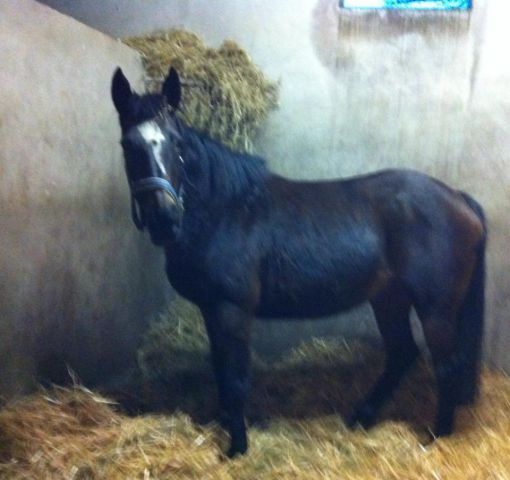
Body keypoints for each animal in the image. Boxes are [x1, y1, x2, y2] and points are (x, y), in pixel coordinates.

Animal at [111, 66, 486, 458]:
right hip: (389, 298)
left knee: (446, 365)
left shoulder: (232, 309)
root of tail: (458, 198)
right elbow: (220, 370)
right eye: (127, 146)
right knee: (403, 353)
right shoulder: (211, 309)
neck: (225, 209)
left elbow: (235, 377)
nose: (163, 219)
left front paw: (237, 447)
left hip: (436, 309)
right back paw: (362, 417)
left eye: (176, 144)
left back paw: (436, 438)